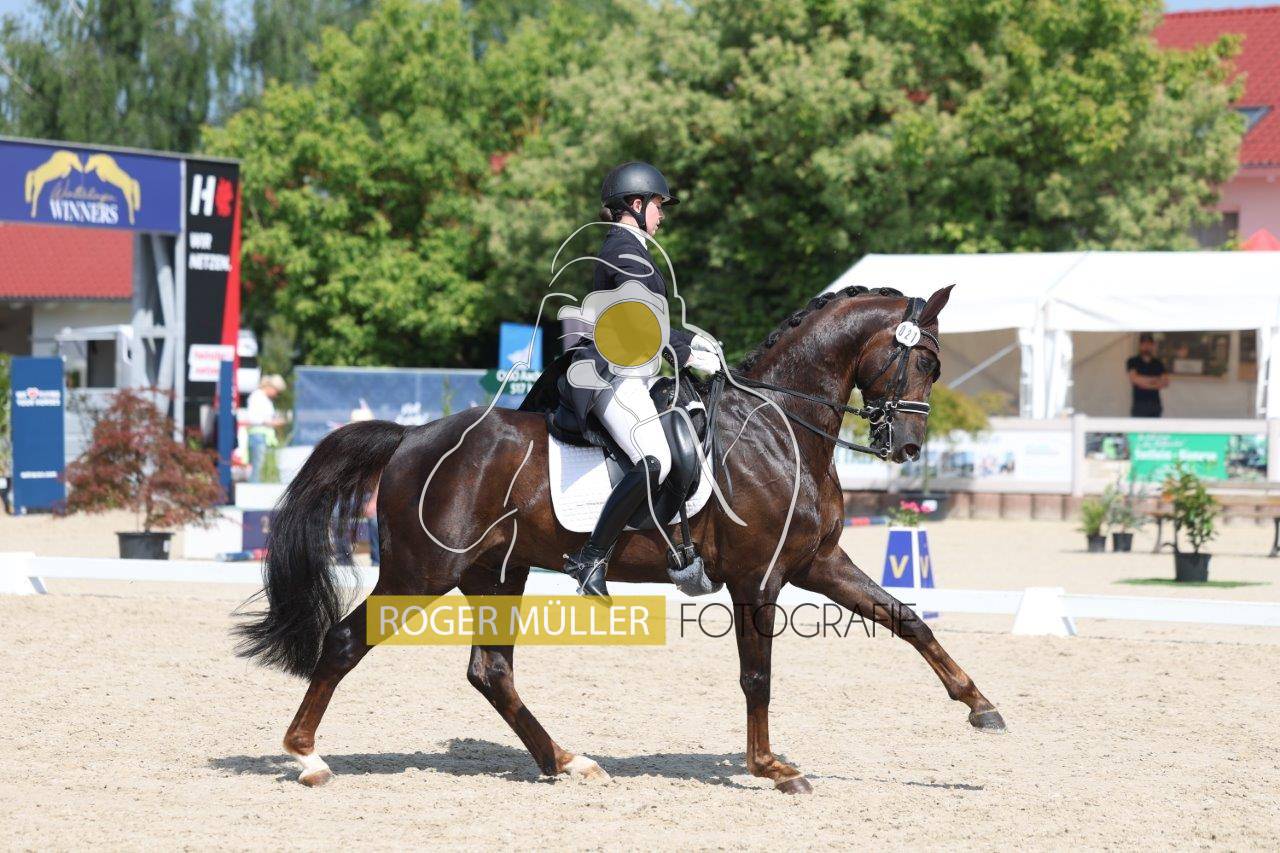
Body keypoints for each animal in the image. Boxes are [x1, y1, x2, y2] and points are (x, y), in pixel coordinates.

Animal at [235, 283, 1006, 794]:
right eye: (924, 363)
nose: (906, 446)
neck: (779, 427)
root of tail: (410, 437)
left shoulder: (817, 562)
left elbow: (906, 618)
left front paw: (980, 706)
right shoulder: (757, 576)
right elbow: (757, 676)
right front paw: (771, 767)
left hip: (496, 574)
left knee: (490, 671)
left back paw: (566, 761)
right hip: (423, 572)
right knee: (346, 641)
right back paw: (306, 757)